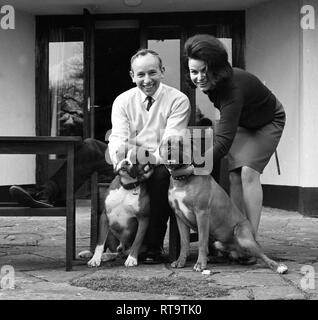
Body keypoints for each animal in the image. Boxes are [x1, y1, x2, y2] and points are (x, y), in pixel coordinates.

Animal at [160, 135, 286, 276]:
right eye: (167, 143)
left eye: (182, 144)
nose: (171, 149)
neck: (182, 178)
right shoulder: (179, 217)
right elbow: (184, 243)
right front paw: (181, 261)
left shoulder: (202, 214)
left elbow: (201, 242)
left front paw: (200, 264)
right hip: (217, 243)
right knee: (226, 257)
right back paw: (212, 259)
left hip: (243, 238)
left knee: (263, 256)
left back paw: (278, 266)